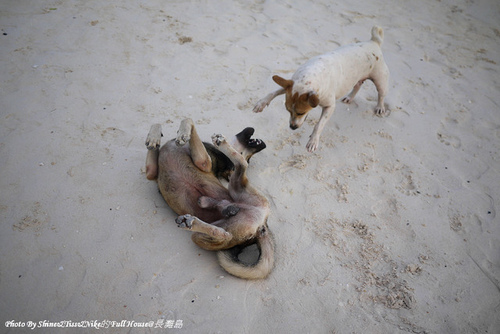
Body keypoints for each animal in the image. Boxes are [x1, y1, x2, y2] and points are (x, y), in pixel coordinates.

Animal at [145, 118, 276, 278]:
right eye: (251, 157)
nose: (263, 144)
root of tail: (262, 225)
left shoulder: (204, 162)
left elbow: (188, 120)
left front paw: (182, 133)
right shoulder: (151, 172)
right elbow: (156, 126)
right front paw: (153, 139)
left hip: (235, 197)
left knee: (225, 236)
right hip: (234, 204)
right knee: (240, 167)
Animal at [254, 26, 390, 151]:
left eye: (301, 113)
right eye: (288, 110)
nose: (292, 127)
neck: (310, 76)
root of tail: (373, 42)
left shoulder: (329, 106)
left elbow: (319, 125)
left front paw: (313, 140)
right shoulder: (291, 85)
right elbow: (273, 92)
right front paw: (261, 103)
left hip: (380, 80)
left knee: (381, 94)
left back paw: (380, 107)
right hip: (357, 77)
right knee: (357, 85)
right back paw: (350, 97)